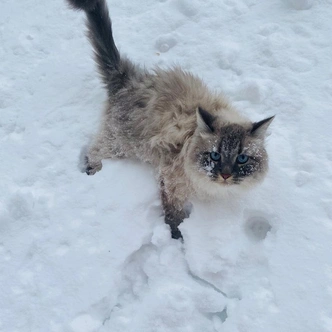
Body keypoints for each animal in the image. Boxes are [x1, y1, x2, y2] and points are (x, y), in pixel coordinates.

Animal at [66, 0, 274, 239]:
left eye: (242, 159)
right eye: (215, 155)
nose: (225, 175)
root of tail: (130, 79)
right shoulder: (173, 183)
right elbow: (174, 217)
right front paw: (177, 238)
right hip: (121, 145)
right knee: (94, 151)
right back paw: (91, 171)